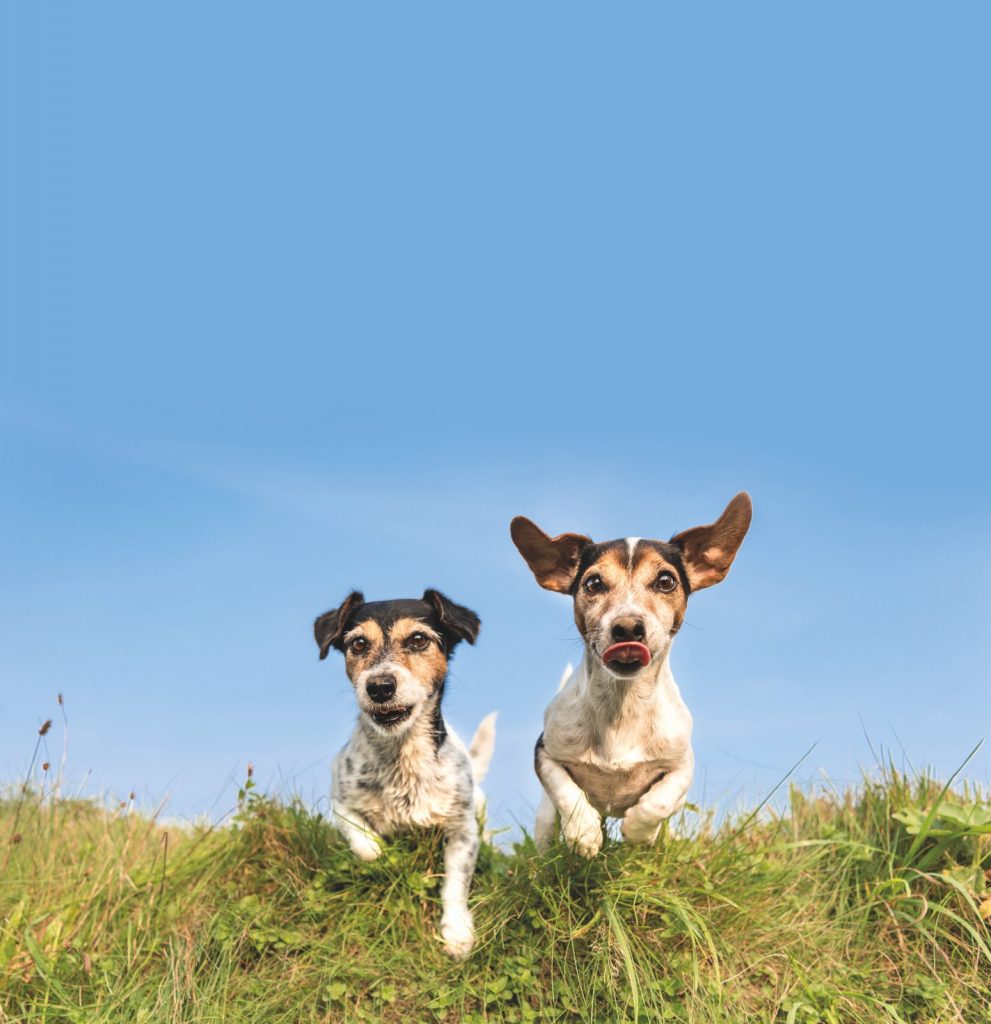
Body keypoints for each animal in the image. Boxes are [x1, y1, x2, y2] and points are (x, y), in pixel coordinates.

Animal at [313, 589, 495, 954]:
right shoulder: (339, 800)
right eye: (358, 644)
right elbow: (363, 840)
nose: (380, 686)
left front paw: (456, 932)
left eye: (418, 639)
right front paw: (377, 849)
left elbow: (455, 883)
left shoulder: (463, 829)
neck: (402, 756)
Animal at [511, 493, 749, 856]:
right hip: (544, 818)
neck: (623, 705)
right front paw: (583, 833)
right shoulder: (545, 754)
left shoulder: (682, 765)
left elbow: (657, 803)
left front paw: (639, 832)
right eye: (593, 583)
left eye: (665, 581)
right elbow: (567, 792)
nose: (626, 627)